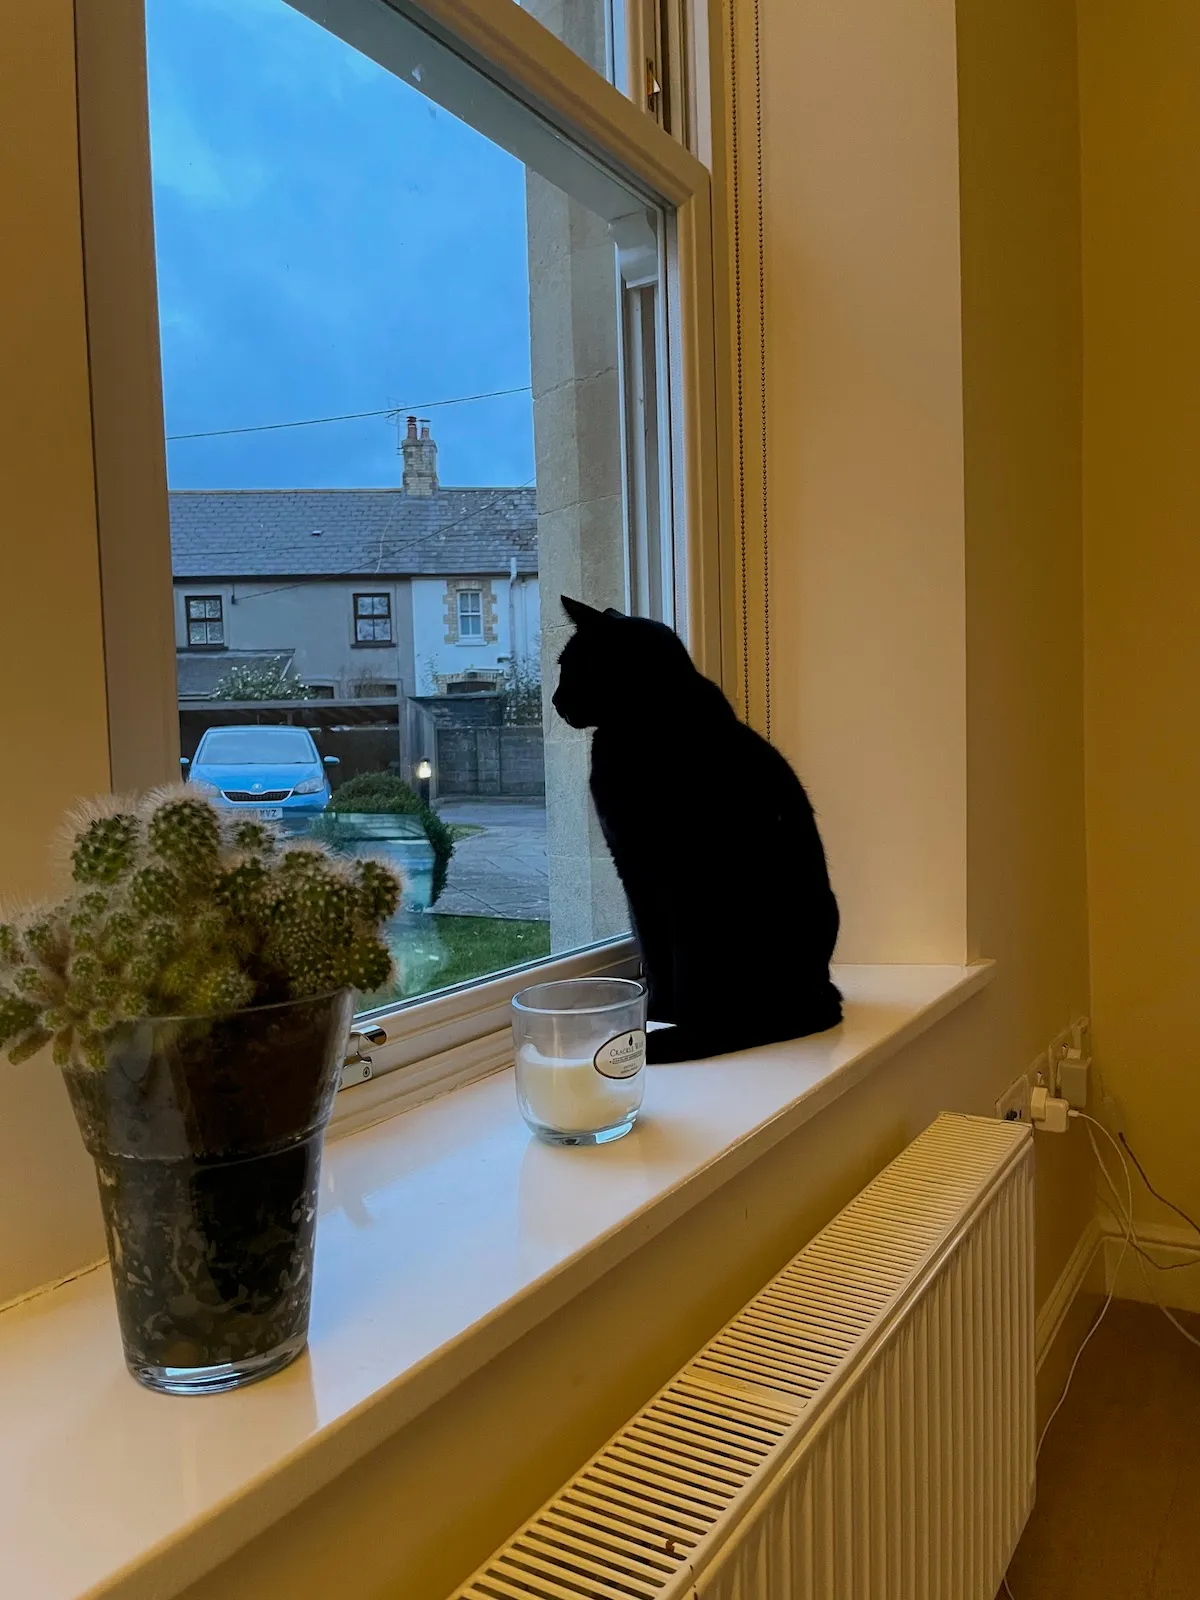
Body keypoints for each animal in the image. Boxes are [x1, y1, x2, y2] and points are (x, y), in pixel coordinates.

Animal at [556, 598, 844, 1062]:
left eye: (573, 667)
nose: (554, 700)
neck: (641, 730)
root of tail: (820, 992)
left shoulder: (684, 881)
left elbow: (683, 960)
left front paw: (681, 1027)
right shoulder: (634, 873)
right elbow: (653, 949)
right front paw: (657, 1010)